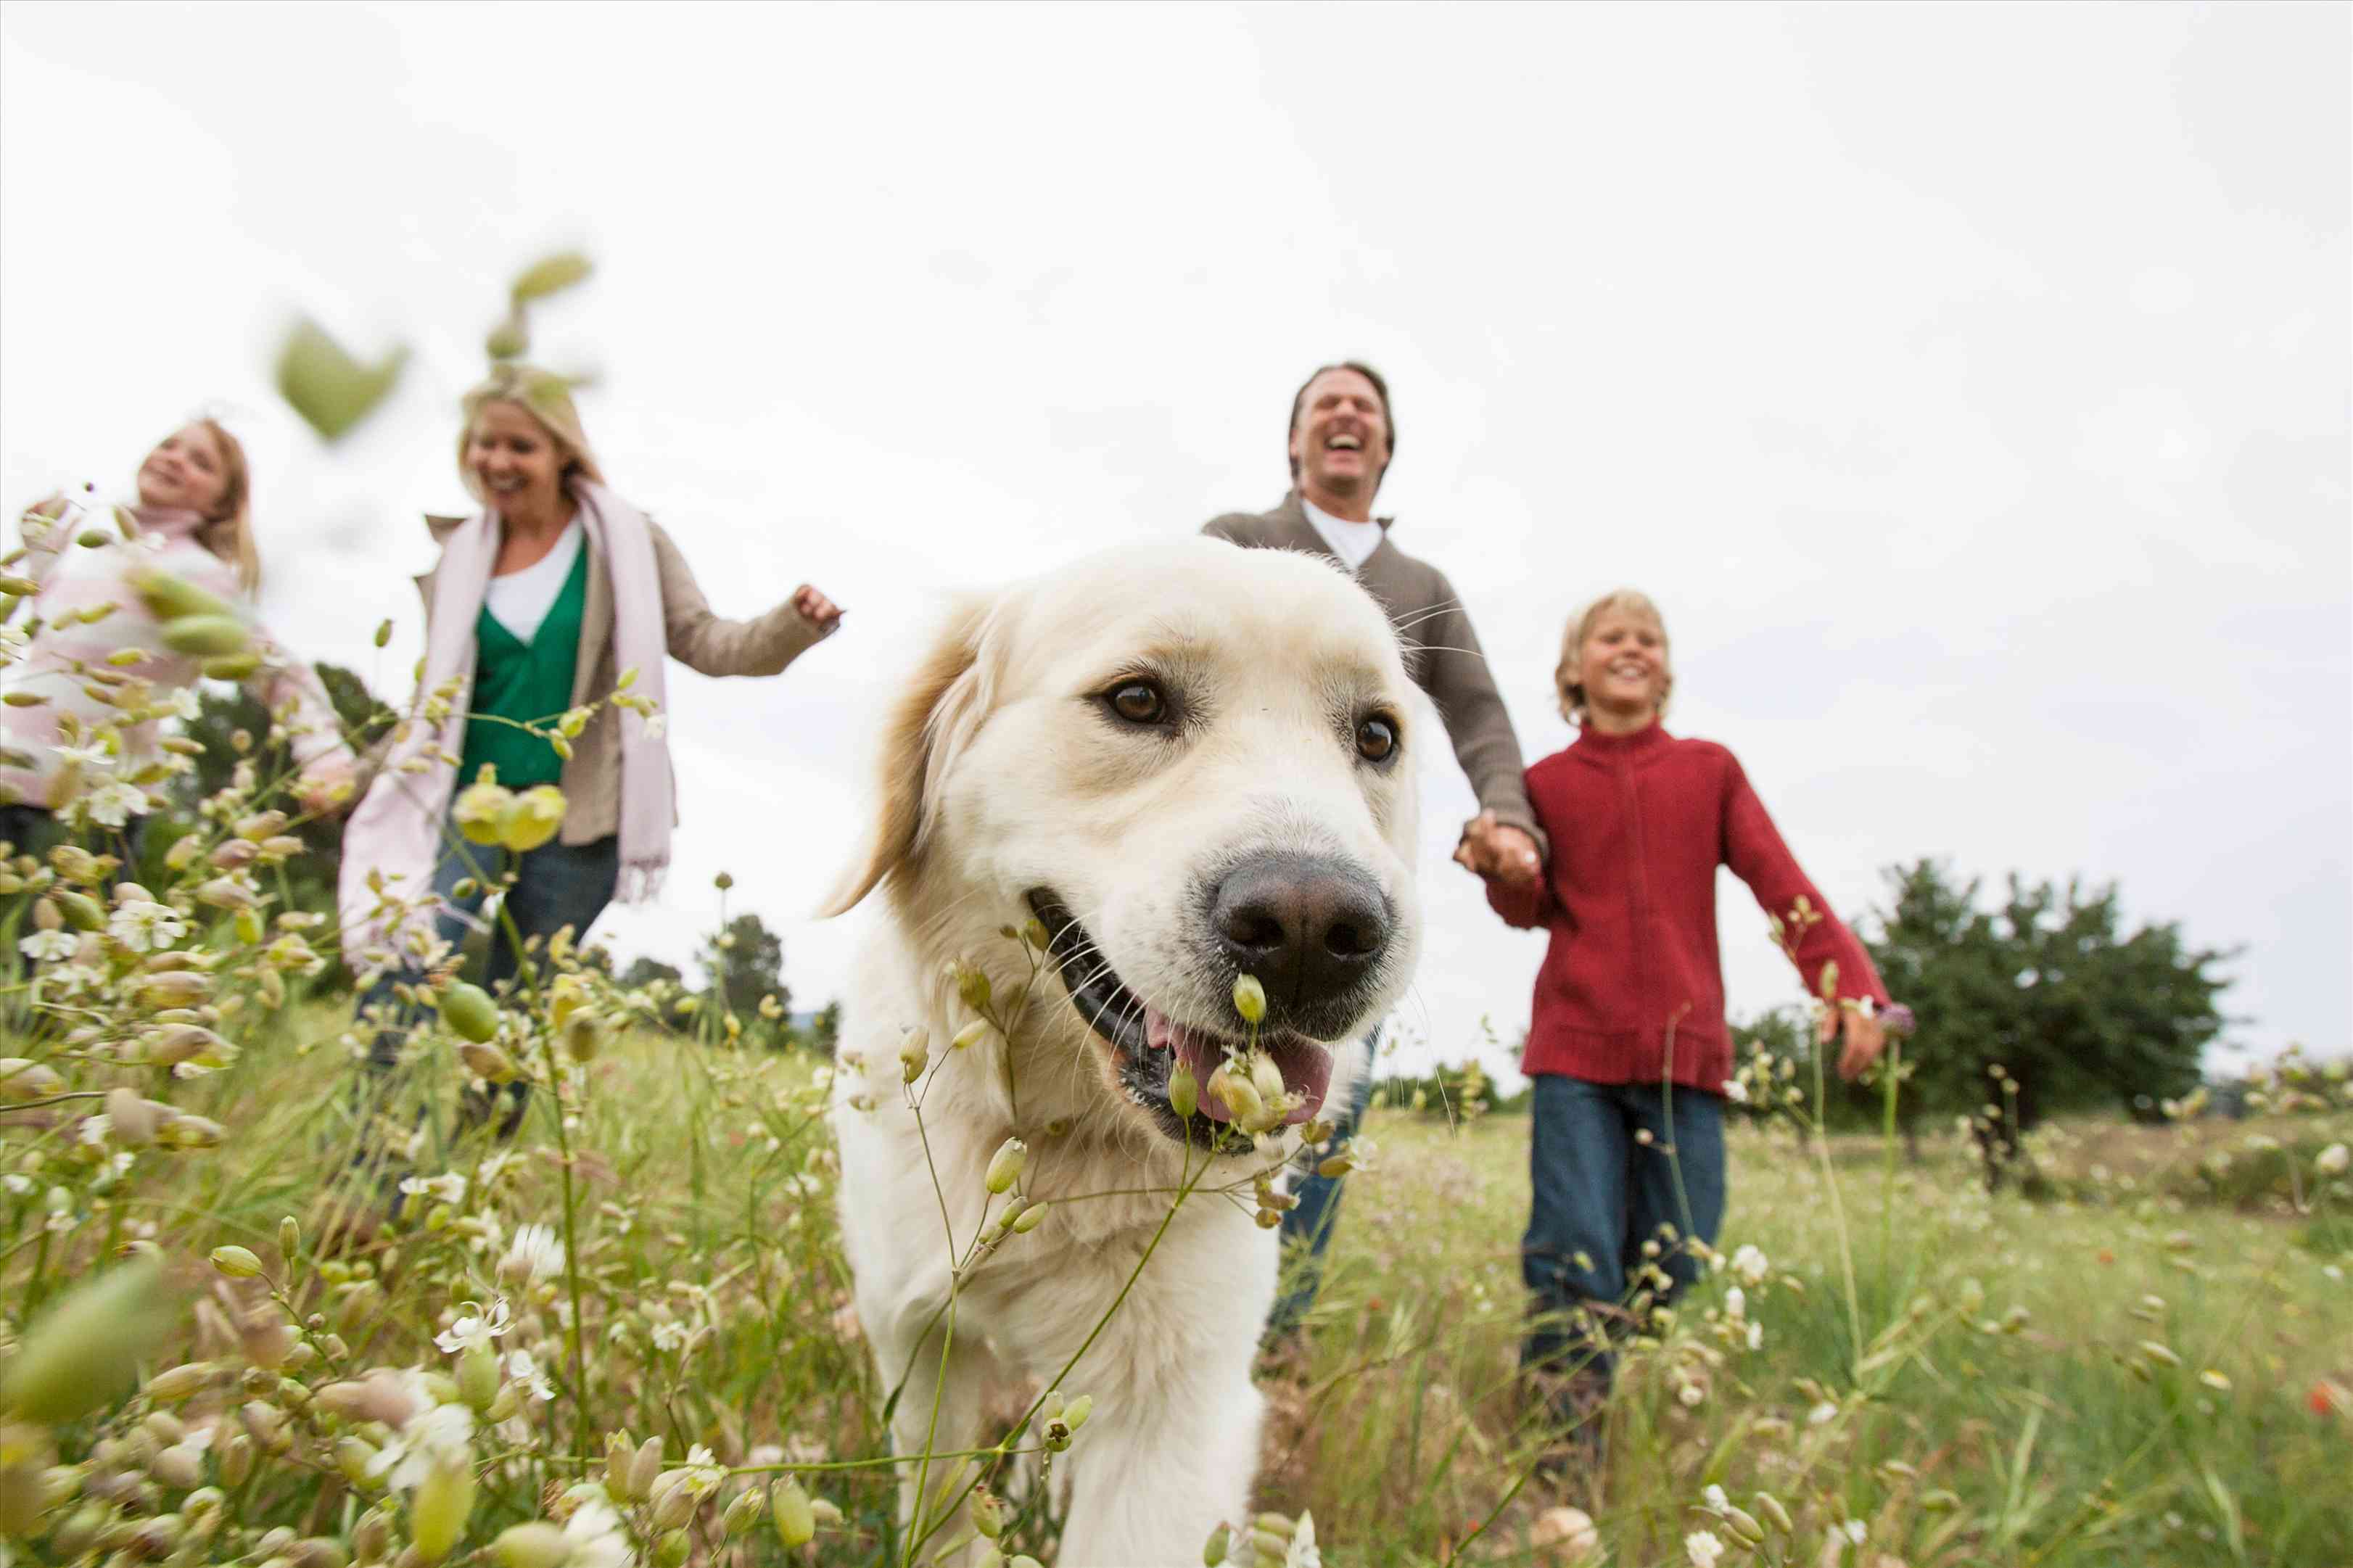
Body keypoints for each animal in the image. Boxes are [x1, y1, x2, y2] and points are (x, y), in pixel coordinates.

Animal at [823, 534, 1412, 1553]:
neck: (1047, 1144)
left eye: (1376, 737)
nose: (1315, 928)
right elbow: (942, 1516)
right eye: (1136, 700)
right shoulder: (916, 1342)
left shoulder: (1173, 1415)